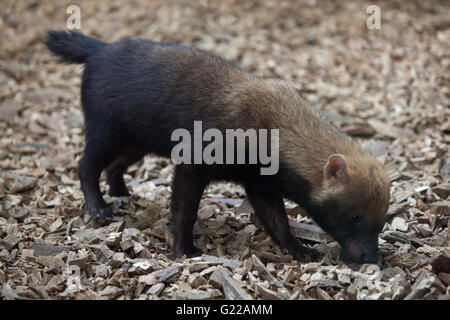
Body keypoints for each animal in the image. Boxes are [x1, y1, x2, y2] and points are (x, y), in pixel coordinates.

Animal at [44, 31, 390, 264]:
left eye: (383, 218)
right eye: (355, 217)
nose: (370, 257)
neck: (271, 122)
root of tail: (99, 48)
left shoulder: (260, 185)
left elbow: (277, 222)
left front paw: (300, 250)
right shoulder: (193, 163)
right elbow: (184, 211)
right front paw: (184, 250)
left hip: (136, 143)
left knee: (114, 167)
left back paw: (123, 193)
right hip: (105, 132)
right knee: (86, 167)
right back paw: (101, 209)